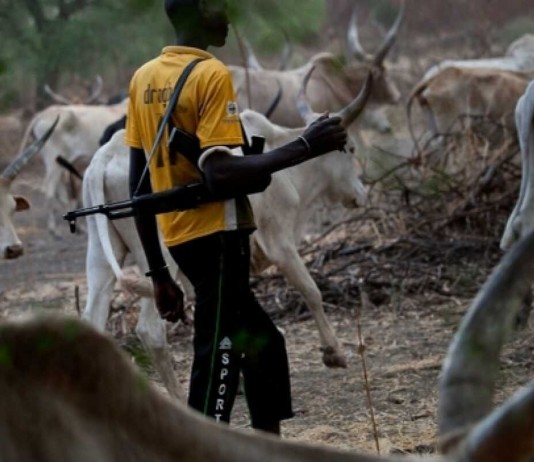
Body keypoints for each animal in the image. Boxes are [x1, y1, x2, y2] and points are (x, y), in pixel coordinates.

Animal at [16, 98, 128, 235]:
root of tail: (40, 115)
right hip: (53, 160)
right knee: (49, 190)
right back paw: (53, 229)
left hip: (58, 164)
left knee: (61, 192)